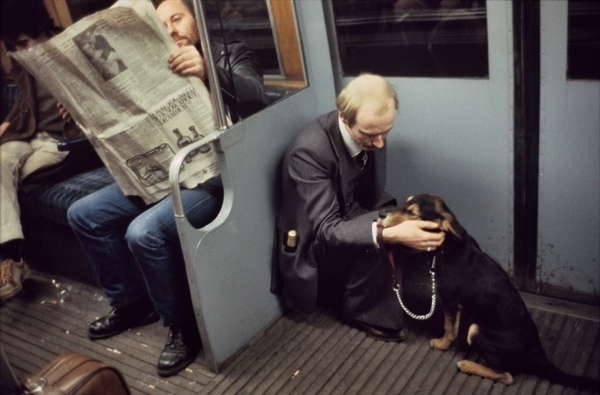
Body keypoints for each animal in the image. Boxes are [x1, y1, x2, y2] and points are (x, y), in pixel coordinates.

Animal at [380, 194, 600, 390]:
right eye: (404, 203)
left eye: (412, 213)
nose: (381, 214)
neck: (447, 245)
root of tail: (537, 354)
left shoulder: (450, 300)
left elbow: (449, 328)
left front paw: (442, 344)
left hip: (476, 331)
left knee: (506, 376)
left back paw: (467, 365)